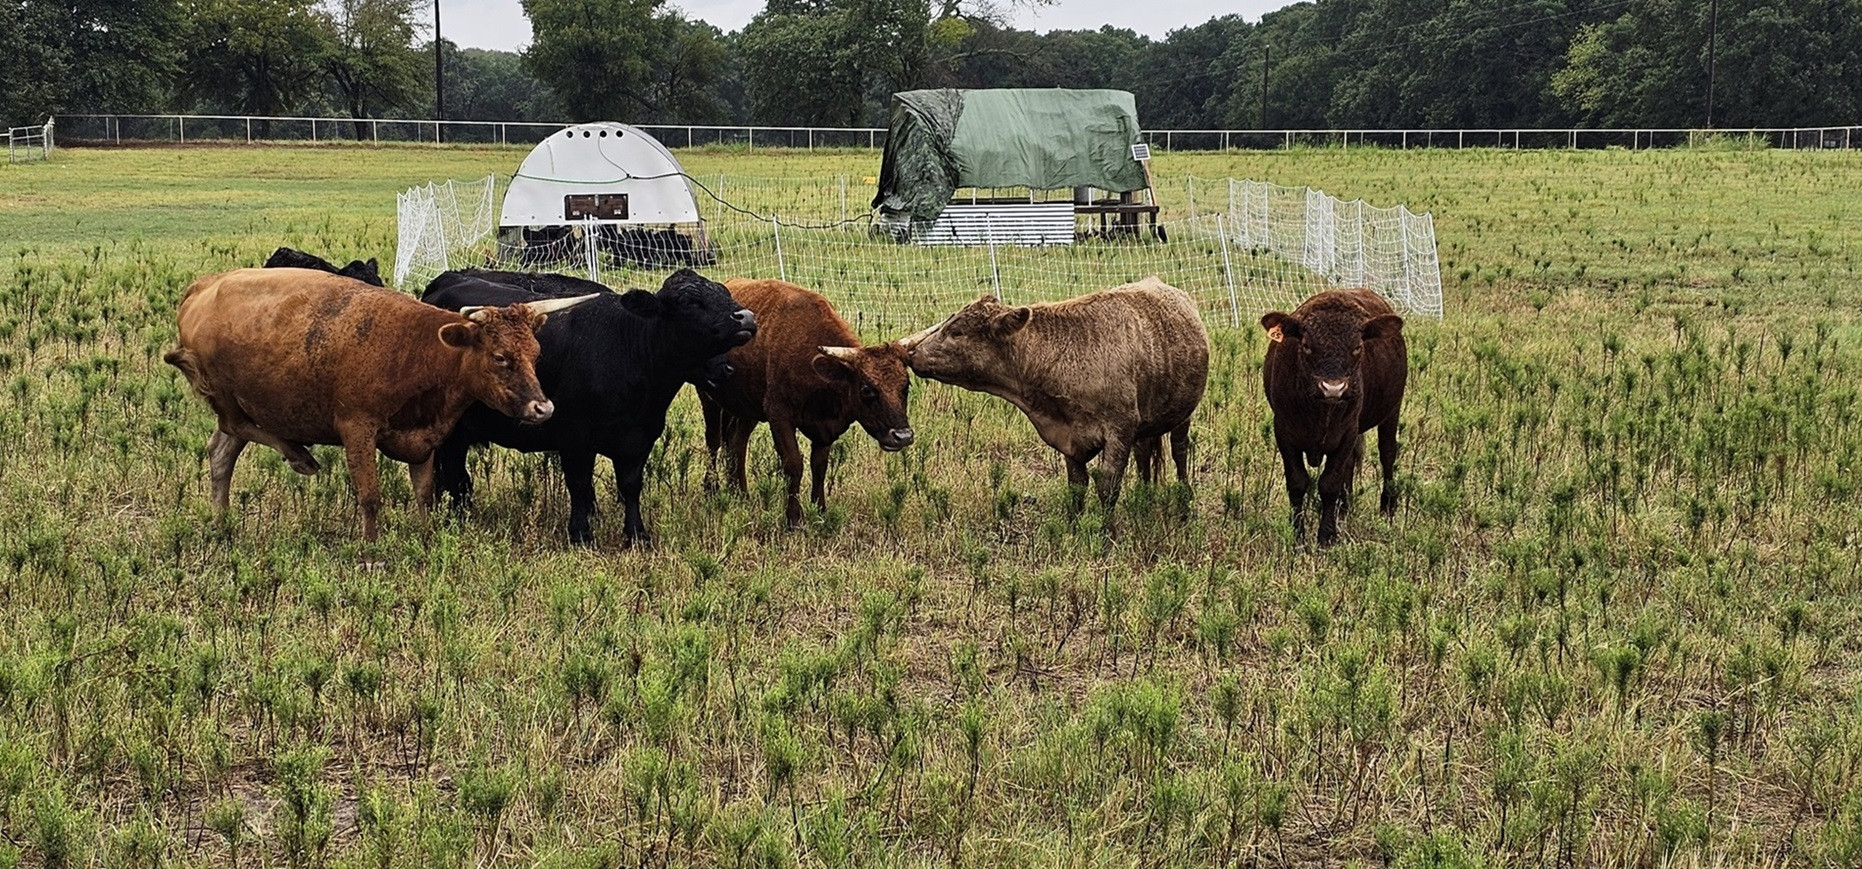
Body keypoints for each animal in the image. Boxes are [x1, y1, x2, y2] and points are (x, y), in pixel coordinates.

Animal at [163, 267, 592, 541]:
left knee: (222, 454)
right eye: (500, 357)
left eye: (535, 353)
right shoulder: (357, 430)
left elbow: (425, 493)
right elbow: (370, 497)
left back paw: (222, 522)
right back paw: (298, 455)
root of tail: (203, 286)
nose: (543, 409)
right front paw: (372, 552)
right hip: (225, 395)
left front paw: (426, 537)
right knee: (237, 427)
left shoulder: (424, 437)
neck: (418, 349)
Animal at [420, 268, 757, 545]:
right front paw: (581, 534)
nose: (746, 317)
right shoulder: (574, 439)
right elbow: (580, 486)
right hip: (453, 430)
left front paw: (637, 535)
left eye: (725, 293)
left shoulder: (640, 438)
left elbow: (630, 486)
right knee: (454, 472)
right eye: (691, 302)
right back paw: (459, 518)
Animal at [698, 278, 914, 528]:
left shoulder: (825, 429)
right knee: (713, 443)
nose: (902, 436)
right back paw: (711, 490)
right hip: (709, 399)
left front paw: (819, 510)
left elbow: (819, 466)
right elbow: (794, 465)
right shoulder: (779, 417)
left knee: (736, 444)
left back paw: (740, 494)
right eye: (867, 389)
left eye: (906, 387)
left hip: (747, 409)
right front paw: (794, 518)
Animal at [902, 276, 1209, 515]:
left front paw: (1107, 538)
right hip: (1146, 424)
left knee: (1180, 452)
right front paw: (1075, 528)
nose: (912, 352)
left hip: (1182, 416)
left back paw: (1184, 501)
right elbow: (1077, 488)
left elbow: (1107, 488)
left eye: (957, 332)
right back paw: (1144, 497)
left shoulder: (1119, 431)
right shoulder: (1070, 437)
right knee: (1144, 454)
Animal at [1259, 288, 1408, 547]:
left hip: (1392, 409)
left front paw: (1325, 538)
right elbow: (1297, 482)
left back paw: (1387, 508)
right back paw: (1344, 511)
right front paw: (1298, 536)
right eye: (1307, 345)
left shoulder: (1347, 432)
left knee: (1387, 453)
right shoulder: (1284, 431)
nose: (1333, 388)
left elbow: (1329, 484)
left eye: (1357, 347)